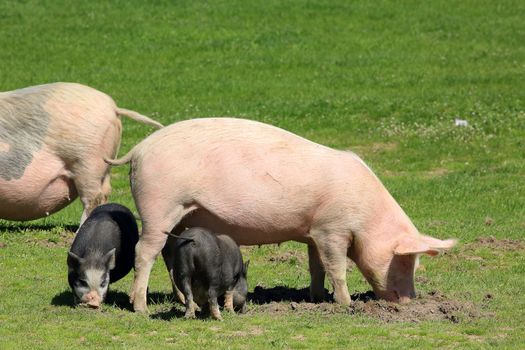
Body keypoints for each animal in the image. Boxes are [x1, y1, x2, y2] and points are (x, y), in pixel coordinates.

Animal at [106, 117, 454, 312]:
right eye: (405, 260)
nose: (411, 300)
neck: (367, 216)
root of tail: (139, 150)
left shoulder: (315, 231)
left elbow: (317, 267)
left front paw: (318, 298)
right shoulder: (332, 229)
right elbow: (337, 267)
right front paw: (346, 303)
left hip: (180, 216)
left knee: (168, 252)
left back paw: (177, 300)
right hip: (159, 205)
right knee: (144, 251)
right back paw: (140, 308)